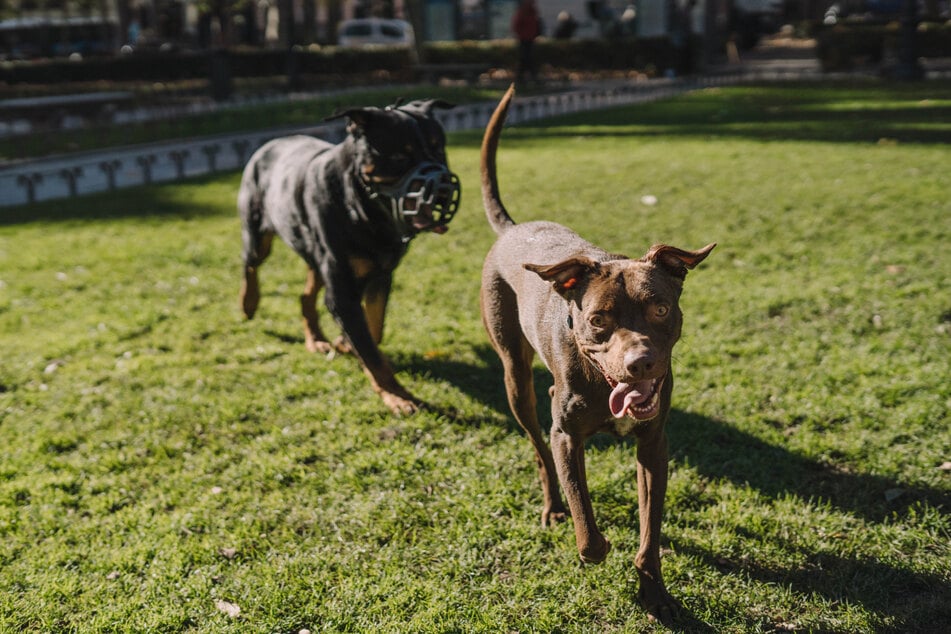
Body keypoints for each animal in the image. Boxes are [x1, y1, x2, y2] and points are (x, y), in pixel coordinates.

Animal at [238, 99, 462, 414]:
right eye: (399, 156)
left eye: (438, 148)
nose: (442, 186)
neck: (362, 206)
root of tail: (268, 144)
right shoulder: (342, 291)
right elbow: (370, 350)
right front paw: (398, 396)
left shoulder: (382, 274)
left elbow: (373, 328)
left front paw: (345, 343)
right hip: (259, 234)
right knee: (250, 265)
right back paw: (248, 304)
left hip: (317, 259)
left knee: (305, 296)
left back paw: (316, 340)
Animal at [484, 84, 712, 616]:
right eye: (598, 320)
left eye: (660, 309)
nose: (640, 363)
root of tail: (513, 229)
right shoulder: (567, 435)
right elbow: (585, 522)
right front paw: (596, 542)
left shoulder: (654, 445)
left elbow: (650, 532)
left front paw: (654, 591)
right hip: (516, 380)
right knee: (538, 449)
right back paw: (552, 507)